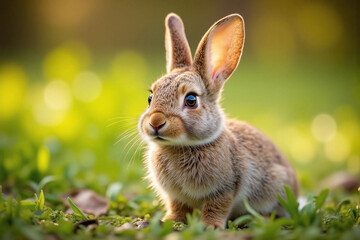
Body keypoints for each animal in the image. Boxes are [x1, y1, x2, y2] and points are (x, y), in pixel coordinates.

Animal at [138, 12, 298, 229]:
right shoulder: (175, 196)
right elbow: (177, 206)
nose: (155, 122)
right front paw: (171, 220)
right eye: (150, 97)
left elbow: (217, 206)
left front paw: (210, 226)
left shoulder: (225, 188)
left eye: (191, 100)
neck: (183, 147)